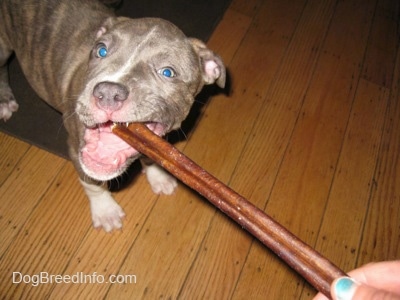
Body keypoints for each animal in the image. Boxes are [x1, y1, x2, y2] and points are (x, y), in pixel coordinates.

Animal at [0, 0, 225, 232]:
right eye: (101, 50)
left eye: (168, 72)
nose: (108, 92)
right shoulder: (75, 147)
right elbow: (92, 182)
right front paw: (105, 211)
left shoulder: (151, 140)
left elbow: (150, 155)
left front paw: (158, 177)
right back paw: (5, 100)